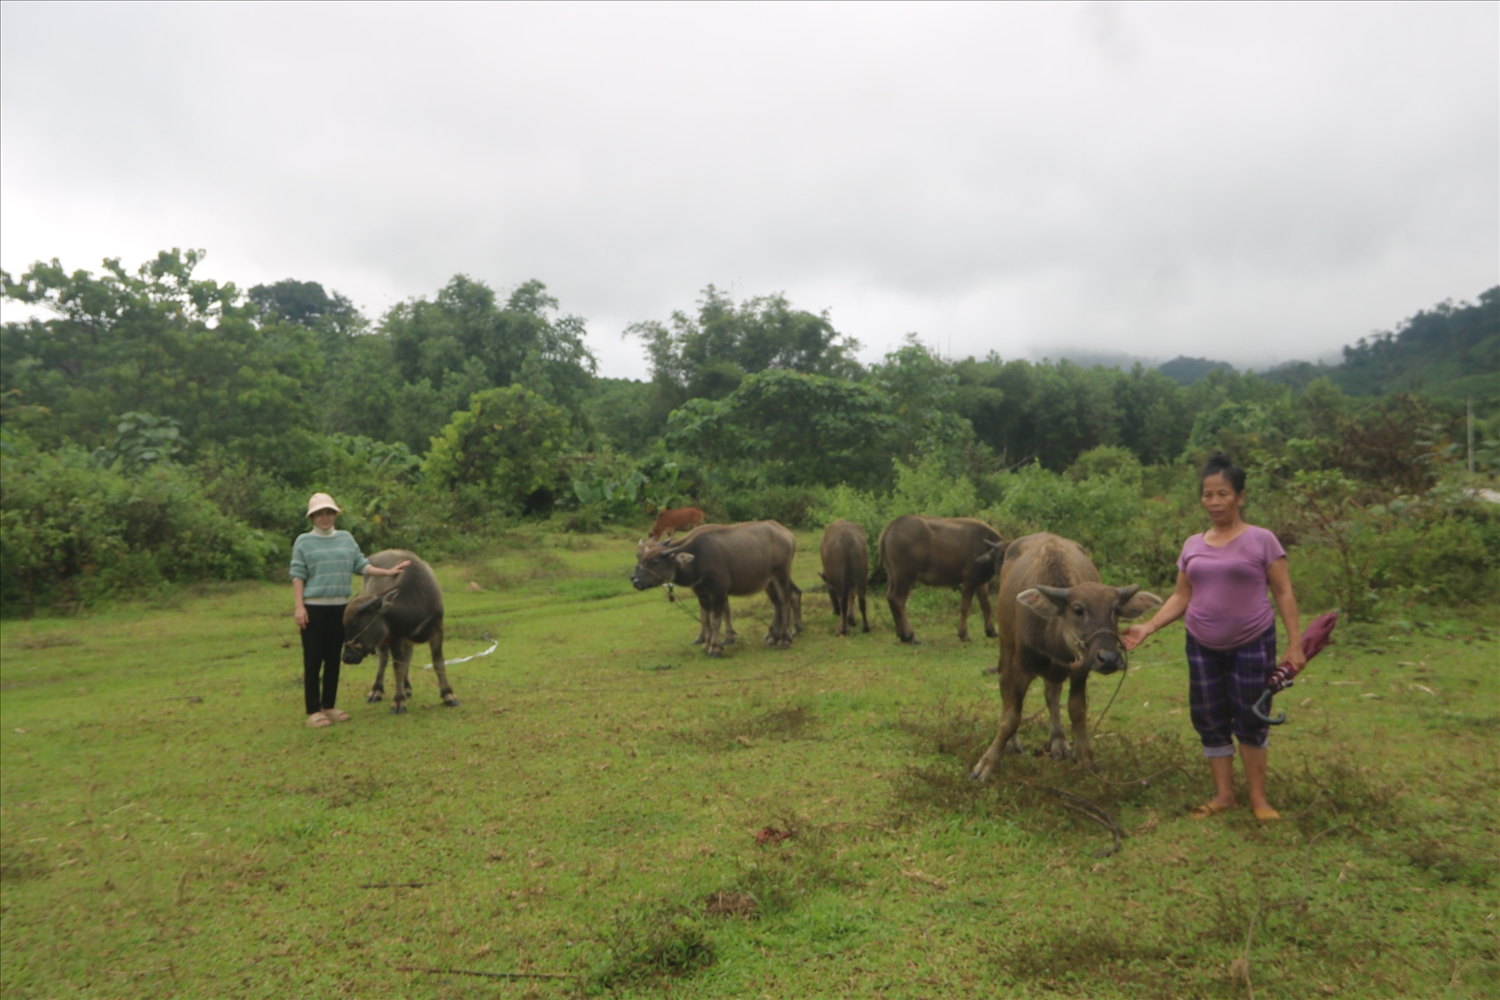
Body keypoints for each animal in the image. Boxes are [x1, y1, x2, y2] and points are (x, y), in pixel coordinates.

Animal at [340, 551, 456, 716]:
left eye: (355, 624)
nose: (347, 657)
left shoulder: (438, 630)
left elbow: (438, 662)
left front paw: (448, 695)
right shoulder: (394, 637)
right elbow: (398, 667)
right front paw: (398, 701)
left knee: (408, 655)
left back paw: (406, 687)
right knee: (383, 657)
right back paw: (377, 691)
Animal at [630, 521, 804, 659]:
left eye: (655, 562)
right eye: (640, 558)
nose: (634, 579)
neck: (698, 559)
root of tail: (787, 534)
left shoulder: (718, 592)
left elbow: (715, 620)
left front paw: (715, 648)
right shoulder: (702, 594)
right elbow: (705, 618)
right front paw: (706, 644)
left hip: (781, 575)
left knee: (785, 601)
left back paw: (784, 639)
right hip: (768, 581)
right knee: (780, 601)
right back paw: (775, 636)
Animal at [876, 515, 1008, 641]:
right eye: (1000, 557)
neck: (984, 547)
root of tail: (892, 525)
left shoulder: (980, 582)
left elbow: (986, 604)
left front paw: (991, 631)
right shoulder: (969, 581)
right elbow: (965, 606)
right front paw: (964, 634)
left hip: (892, 575)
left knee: (890, 598)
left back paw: (901, 635)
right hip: (905, 576)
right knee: (898, 600)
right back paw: (910, 636)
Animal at [966, 530, 1164, 779]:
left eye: (1116, 610)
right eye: (1078, 610)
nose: (1108, 659)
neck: (1050, 632)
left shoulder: (1079, 669)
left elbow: (1076, 710)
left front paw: (1085, 758)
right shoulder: (1022, 668)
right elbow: (1011, 716)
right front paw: (987, 763)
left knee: (1052, 694)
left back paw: (1059, 741)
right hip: (1006, 647)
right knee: (1004, 683)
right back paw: (1013, 742)